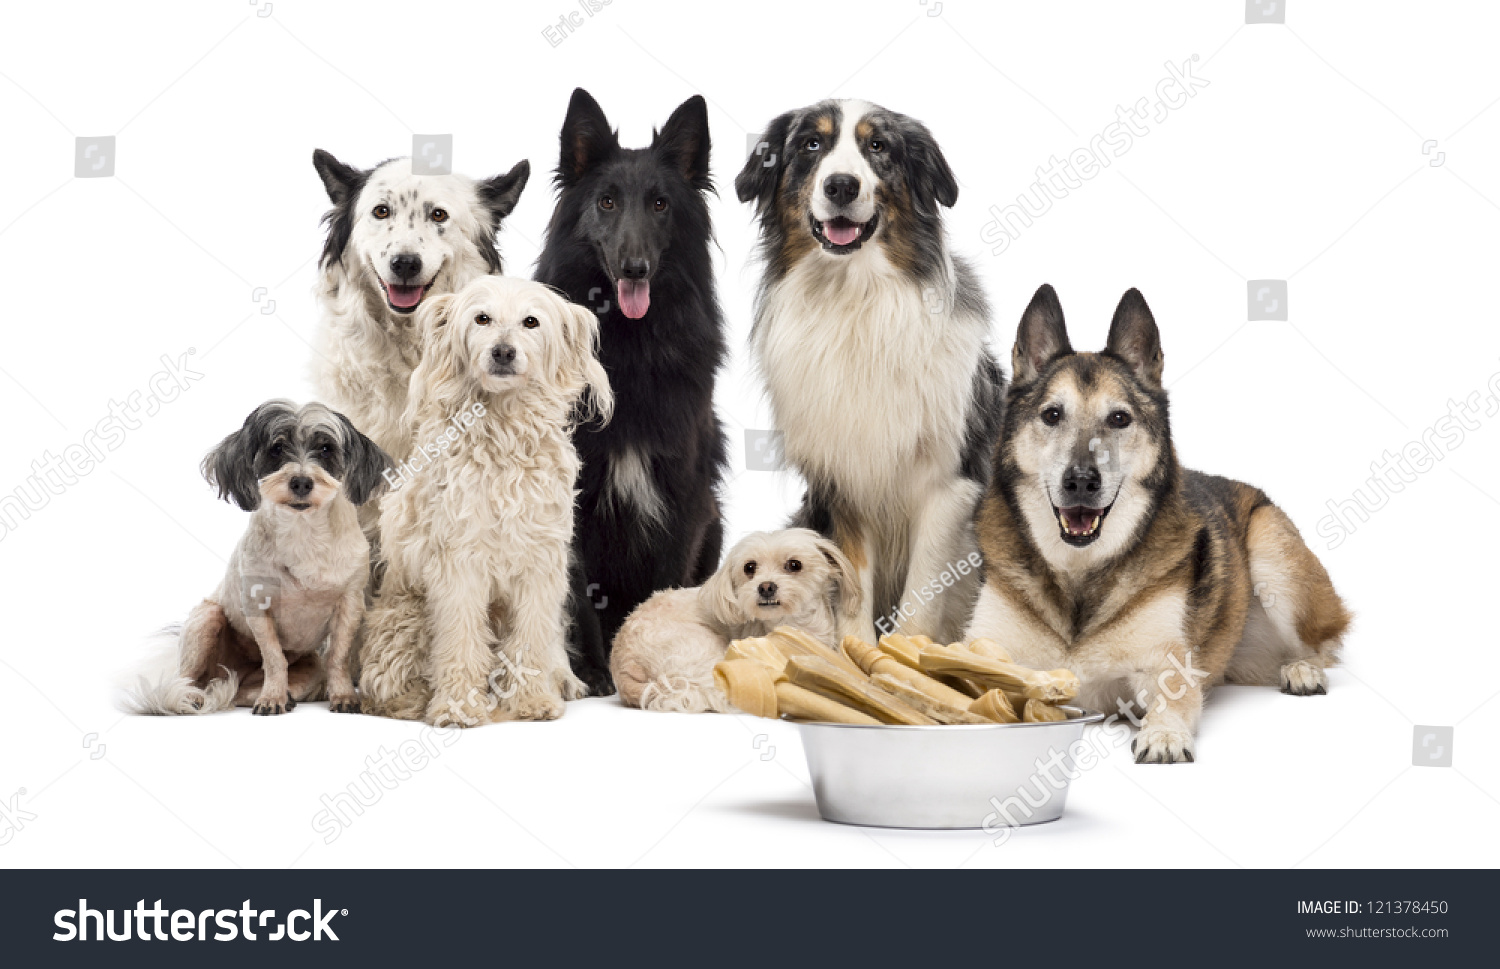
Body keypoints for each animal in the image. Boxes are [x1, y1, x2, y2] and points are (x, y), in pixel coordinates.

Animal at [126, 402, 393, 714]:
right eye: (276, 449)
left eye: (326, 449)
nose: (301, 482)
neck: (302, 533)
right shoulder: (258, 608)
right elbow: (274, 658)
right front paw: (272, 698)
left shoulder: (349, 604)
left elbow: (337, 657)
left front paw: (342, 695)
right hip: (205, 621)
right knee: (190, 680)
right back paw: (193, 696)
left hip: (309, 668)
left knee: (238, 692)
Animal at [357, 277, 609, 726]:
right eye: (482, 318)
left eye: (531, 322)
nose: (503, 352)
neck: (503, 431)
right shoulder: (459, 566)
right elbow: (460, 640)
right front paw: (457, 705)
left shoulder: (540, 567)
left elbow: (529, 639)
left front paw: (531, 700)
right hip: (406, 617)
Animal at [537, 89, 729, 699]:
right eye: (606, 203)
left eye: (661, 205)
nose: (635, 267)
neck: (629, 347)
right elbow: (581, 594)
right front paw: (595, 672)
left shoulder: (682, 495)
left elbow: (664, 586)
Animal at [738, 100, 1008, 645]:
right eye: (811, 144)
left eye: (878, 146)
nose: (841, 185)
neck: (857, 297)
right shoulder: (842, 477)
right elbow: (852, 576)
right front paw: (855, 649)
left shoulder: (948, 481)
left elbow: (925, 586)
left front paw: (906, 654)